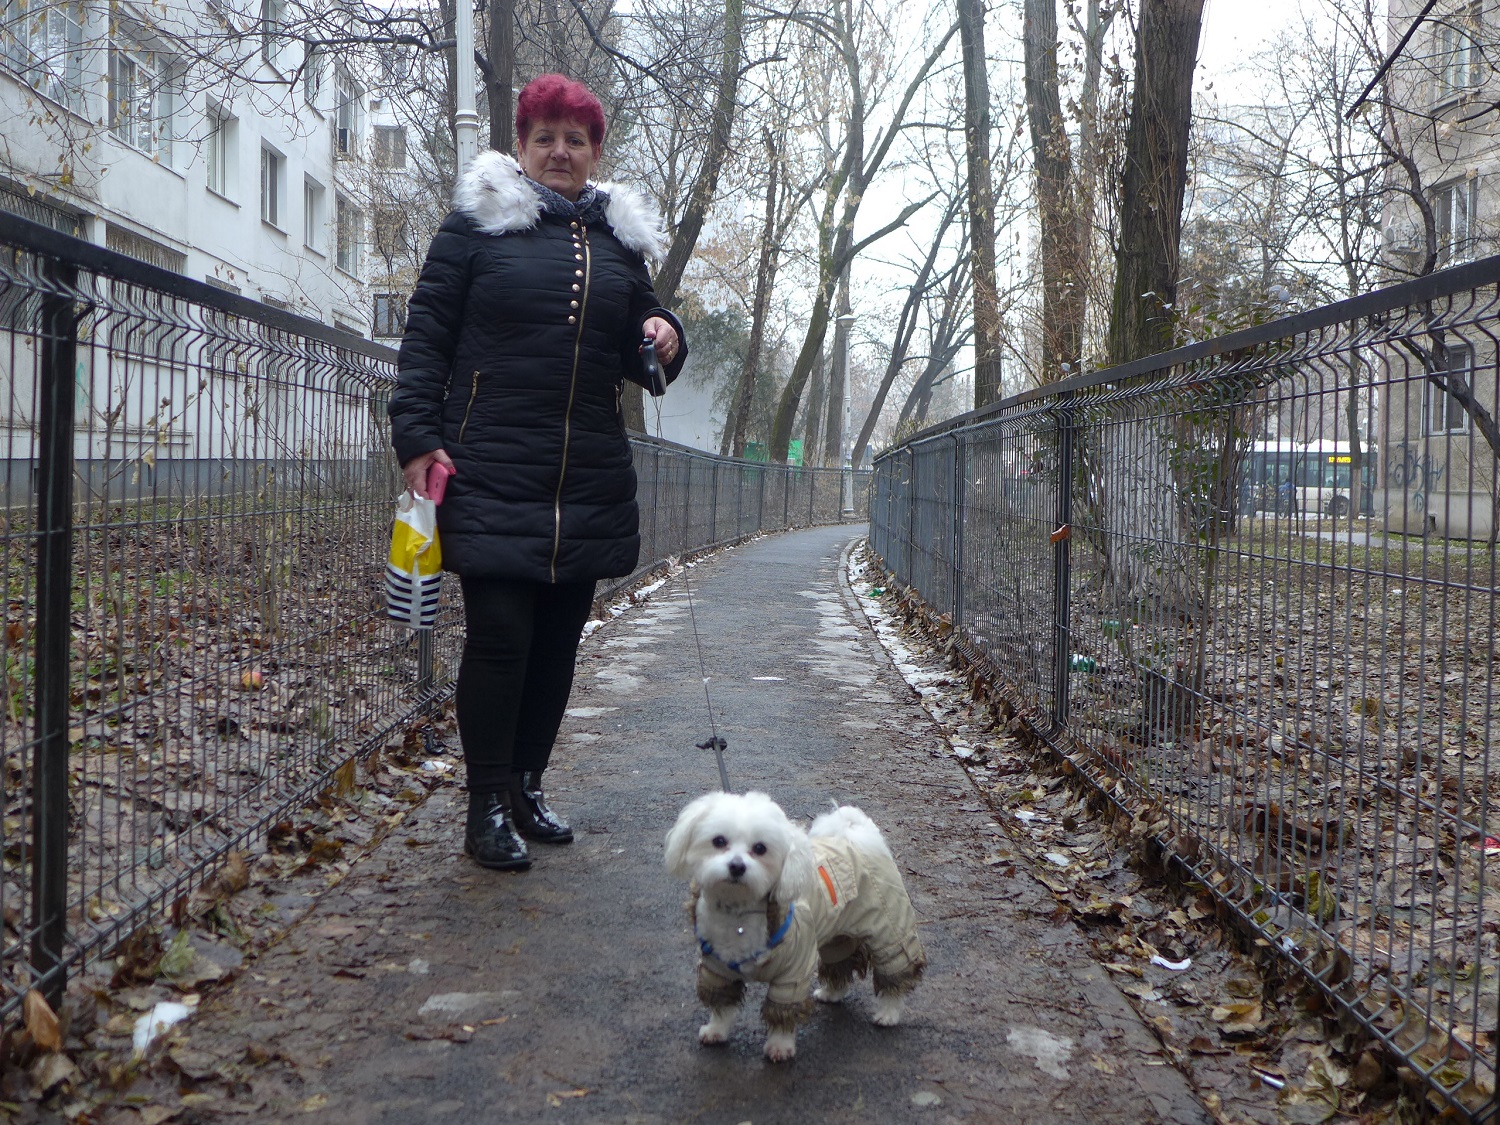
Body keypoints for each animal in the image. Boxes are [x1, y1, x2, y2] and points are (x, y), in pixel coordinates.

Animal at [660, 786, 918, 1062]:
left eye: (760, 848)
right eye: (718, 841)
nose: (737, 866)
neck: (738, 911)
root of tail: (855, 835)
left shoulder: (792, 973)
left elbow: (782, 1012)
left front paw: (780, 1046)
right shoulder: (716, 969)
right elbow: (721, 1003)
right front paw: (716, 1029)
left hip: (888, 929)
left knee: (895, 966)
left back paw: (888, 1012)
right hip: (836, 934)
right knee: (840, 961)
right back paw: (832, 993)